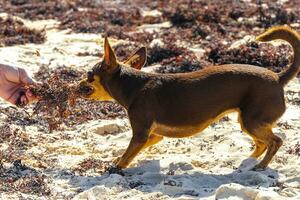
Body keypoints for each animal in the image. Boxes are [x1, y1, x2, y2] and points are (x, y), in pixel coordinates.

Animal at [79, 26, 300, 170]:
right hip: (248, 121)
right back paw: (247, 161)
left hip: (252, 121)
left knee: (275, 141)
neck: (132, 85)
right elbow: (134, 150)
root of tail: (278, 78)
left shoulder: (141, 133)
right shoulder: (154, 135)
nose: (77, 84)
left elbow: (127, 154)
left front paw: (116, 166)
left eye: (89, 75)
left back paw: (260, 166)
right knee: (262, 143)